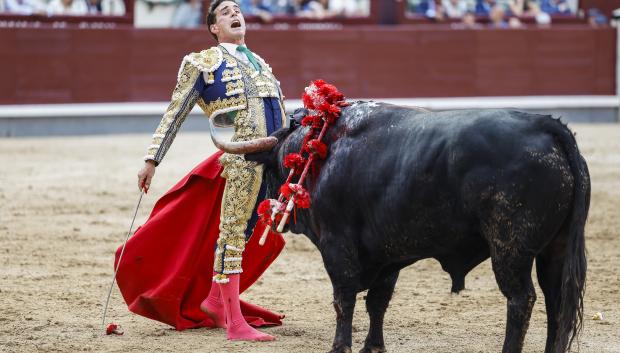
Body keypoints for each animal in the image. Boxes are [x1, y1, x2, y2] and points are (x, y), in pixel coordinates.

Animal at [245, 102, 588, 352]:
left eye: (272, 168)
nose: (270, 212)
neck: (321, 148)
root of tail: (547, 127)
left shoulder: (336, 245)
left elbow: (344, 299)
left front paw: (340, 347)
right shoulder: (388, 251)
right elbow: (377, 301)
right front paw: (373, 347)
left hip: (510, 248)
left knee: (521, 299)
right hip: (555, 250)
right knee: (556, 300)